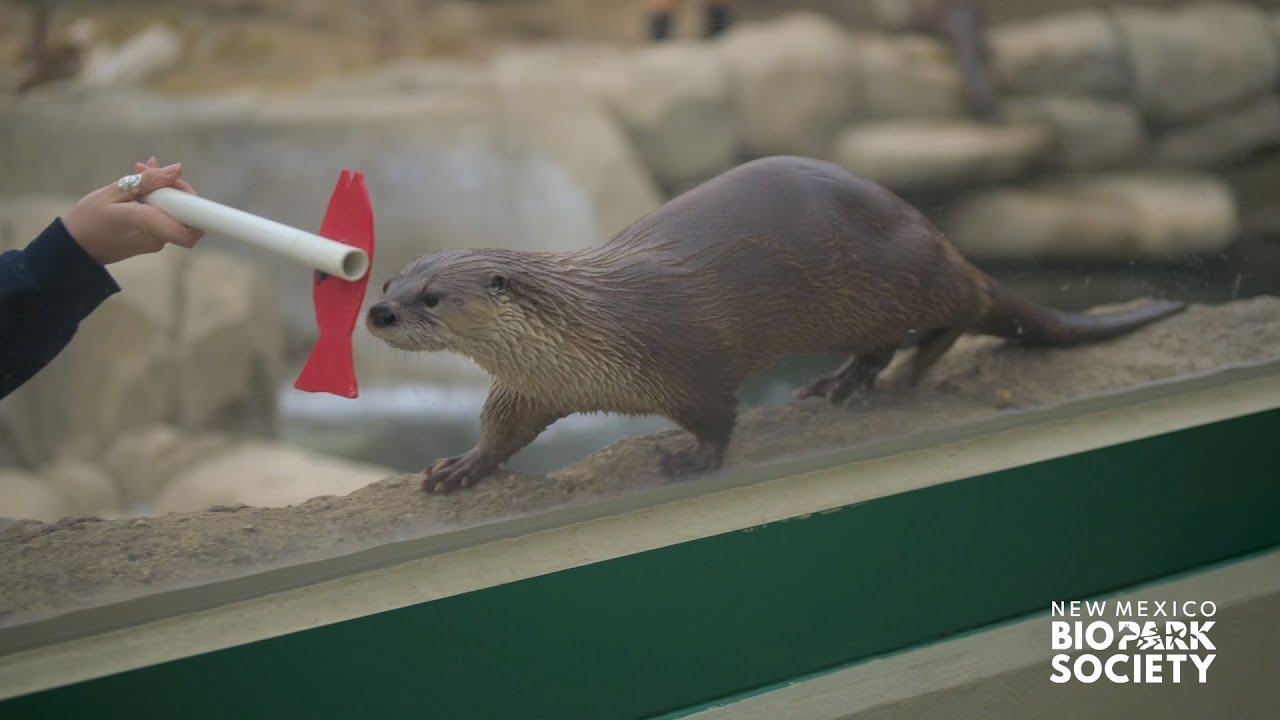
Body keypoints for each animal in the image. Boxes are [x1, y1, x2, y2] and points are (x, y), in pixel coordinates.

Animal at [367, 156, 1185, 493]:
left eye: (431, 296)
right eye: (387, 278)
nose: (378, 312)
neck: (590, 334)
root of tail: (936, 234)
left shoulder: (689, 360)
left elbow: (718, 416)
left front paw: (693, 461)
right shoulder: (531, 388)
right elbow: (501, 431)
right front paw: (461, 467)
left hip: (898, 280)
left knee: (953, 317)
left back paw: (904, 375)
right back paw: (839, 383)